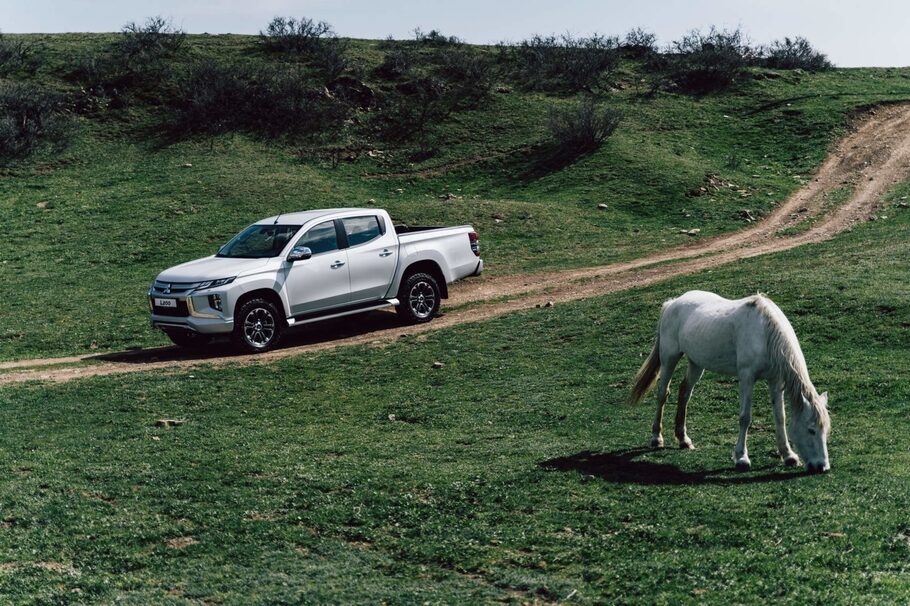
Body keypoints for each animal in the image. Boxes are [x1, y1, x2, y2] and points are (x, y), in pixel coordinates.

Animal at [632, 294, 832, 476]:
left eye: (825, 430)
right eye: (811, 430)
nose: (822, 466)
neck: (764, 333)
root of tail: (672, 303)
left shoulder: (775, 380)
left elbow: (780, 417)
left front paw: (788, 455)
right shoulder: (746, 377)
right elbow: (745, 418)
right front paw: (742, 458)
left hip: (696, 363)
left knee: (685, 392)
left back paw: (683, 439)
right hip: (669, 359)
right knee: (662, 394)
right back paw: (656, 438)